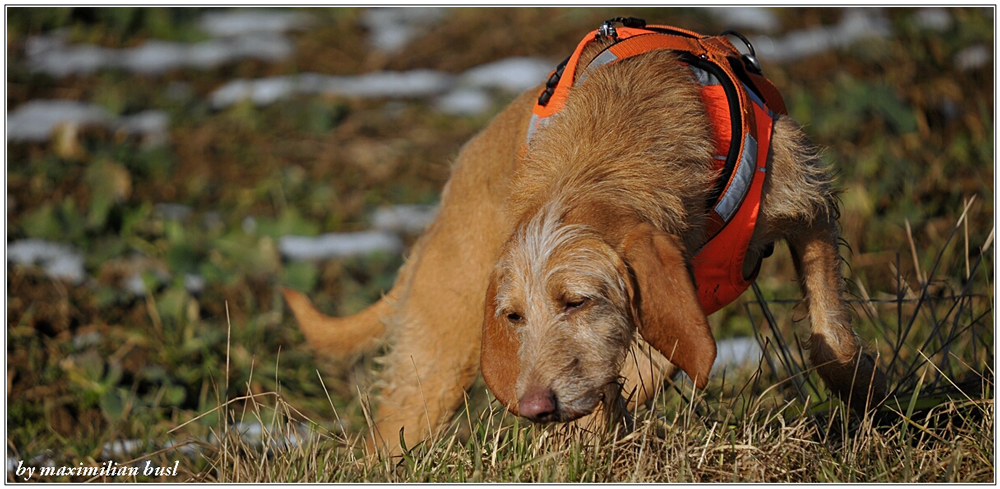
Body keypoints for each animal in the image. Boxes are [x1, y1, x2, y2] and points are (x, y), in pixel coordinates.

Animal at [282, 18, 884, 454]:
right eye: (514, 316)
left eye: (576, 301)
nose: (534, 408)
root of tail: (441, 208)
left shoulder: (806, 206)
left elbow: (831, 340)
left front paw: (875, 410)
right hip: (436, 366)